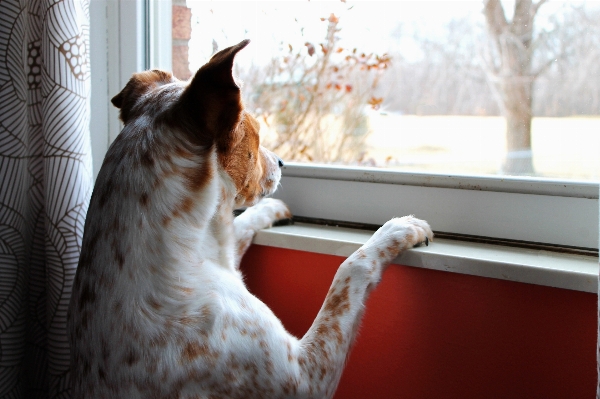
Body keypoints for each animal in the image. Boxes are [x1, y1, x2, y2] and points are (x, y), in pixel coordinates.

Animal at [69, 38, 432, 399]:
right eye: (256, 132)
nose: (283, 162)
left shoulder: (225, 249)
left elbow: (241, 224)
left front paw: (274, 210)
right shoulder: (306, 377)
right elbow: (351, 268)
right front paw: (400, 229)